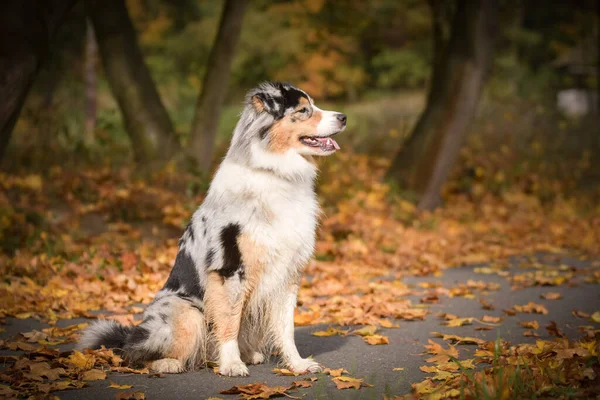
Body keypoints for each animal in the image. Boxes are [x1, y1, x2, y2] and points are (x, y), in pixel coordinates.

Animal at [82, 80, 350, 376]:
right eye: (303, 110)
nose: (343, 117)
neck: (276, 173)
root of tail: (131, 335)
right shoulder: (229, 268)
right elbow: (229, 322)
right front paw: (232, 364)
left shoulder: (288, 272)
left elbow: (286, 327)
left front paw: (297, 364)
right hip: (186, 312)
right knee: (137, 353)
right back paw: (170, 363)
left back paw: (247, 355)